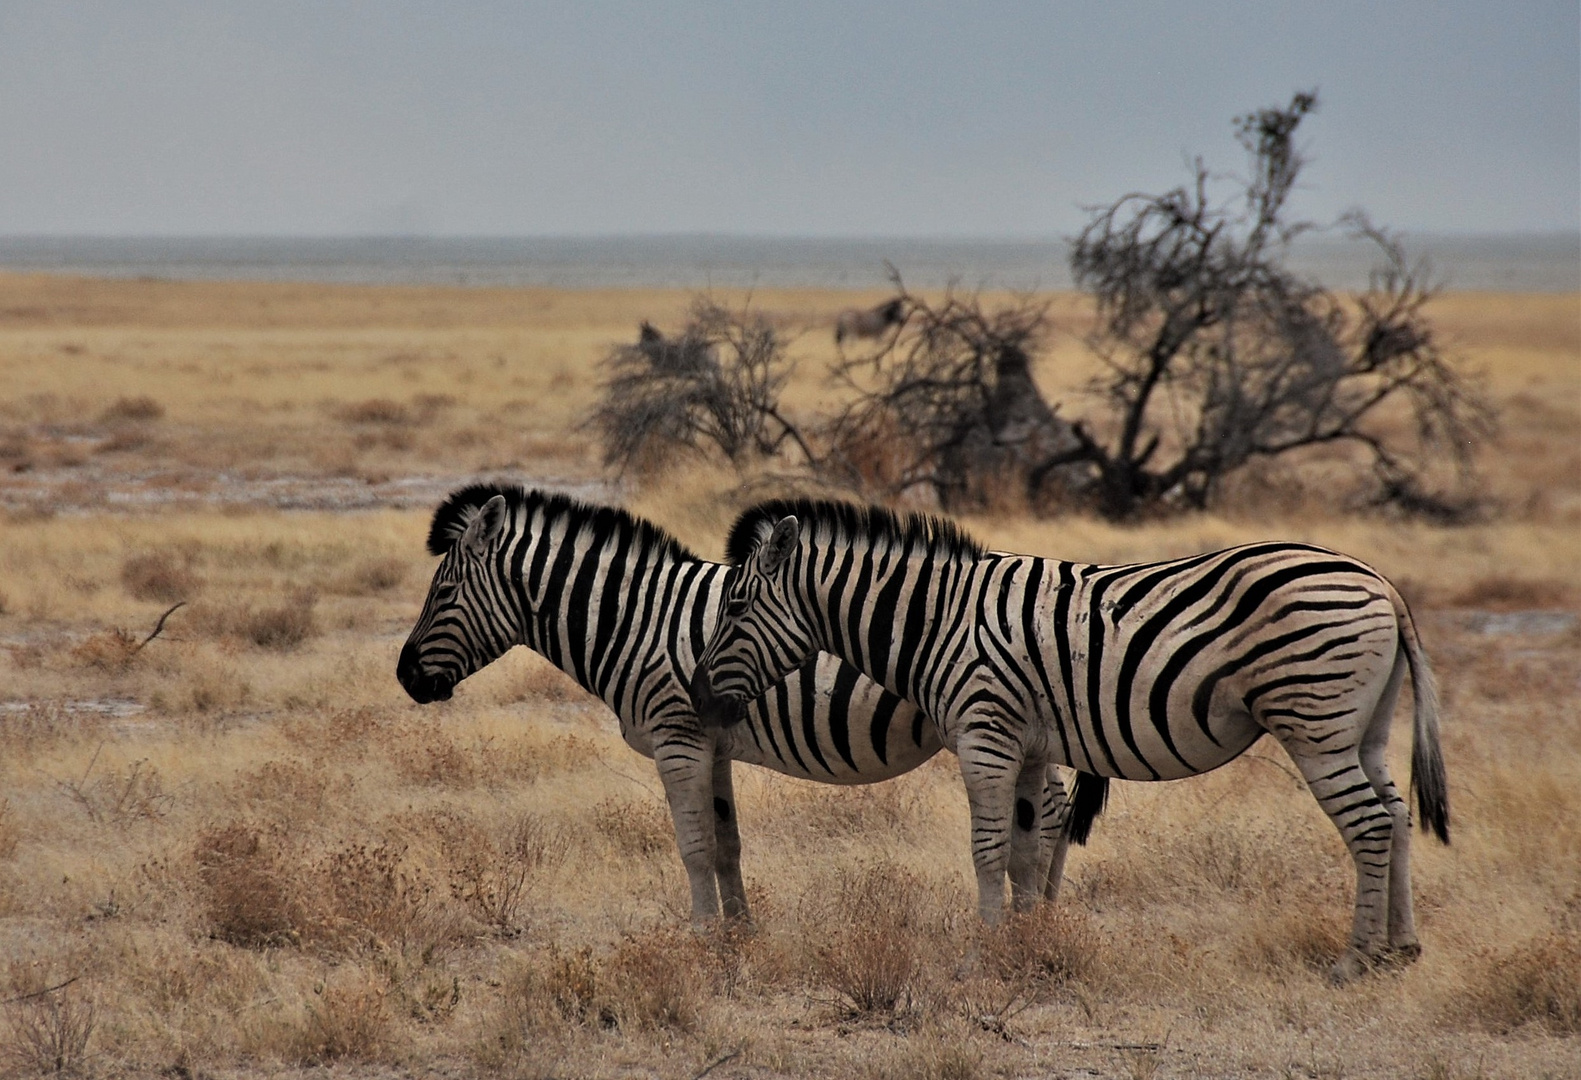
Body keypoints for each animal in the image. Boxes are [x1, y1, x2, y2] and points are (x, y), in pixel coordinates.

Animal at [401, 487, 1081, 923]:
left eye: (444, 591)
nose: (405, 676)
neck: (637, 620)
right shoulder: (714, 744)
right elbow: (726, 844)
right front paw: (739, 935)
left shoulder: (677, 740)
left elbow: (694, 845)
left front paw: (701, 937)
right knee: (1051, 810)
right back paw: (1042, 921)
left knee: (1051, 813)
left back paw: (1043, 922)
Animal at [686, 499, 1448, 980]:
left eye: (735, 606)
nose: (695, 697)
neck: (936, 621)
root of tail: (1379, 580)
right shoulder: (1027, 746)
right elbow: (1027, 853)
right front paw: (1026, 952)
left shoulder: (985, 734)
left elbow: (988, 850)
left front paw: (978, 960)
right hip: (1364, 727)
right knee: (1397, 813)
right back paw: (1401, 948)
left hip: (1314, 721)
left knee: (1368, 824)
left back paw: (1353, 961)